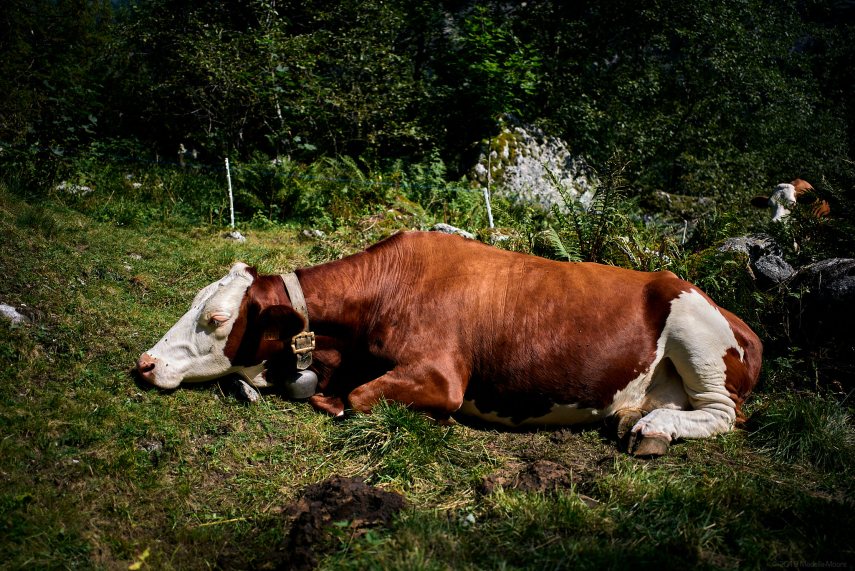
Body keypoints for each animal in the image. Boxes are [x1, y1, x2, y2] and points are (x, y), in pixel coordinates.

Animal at [136, 231, 762, 456]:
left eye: (217, 318)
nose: (145, 363)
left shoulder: (442, 377)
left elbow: (353, 400)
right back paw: (637, 417)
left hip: (696, 333)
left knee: (724, 414)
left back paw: (655, 431)